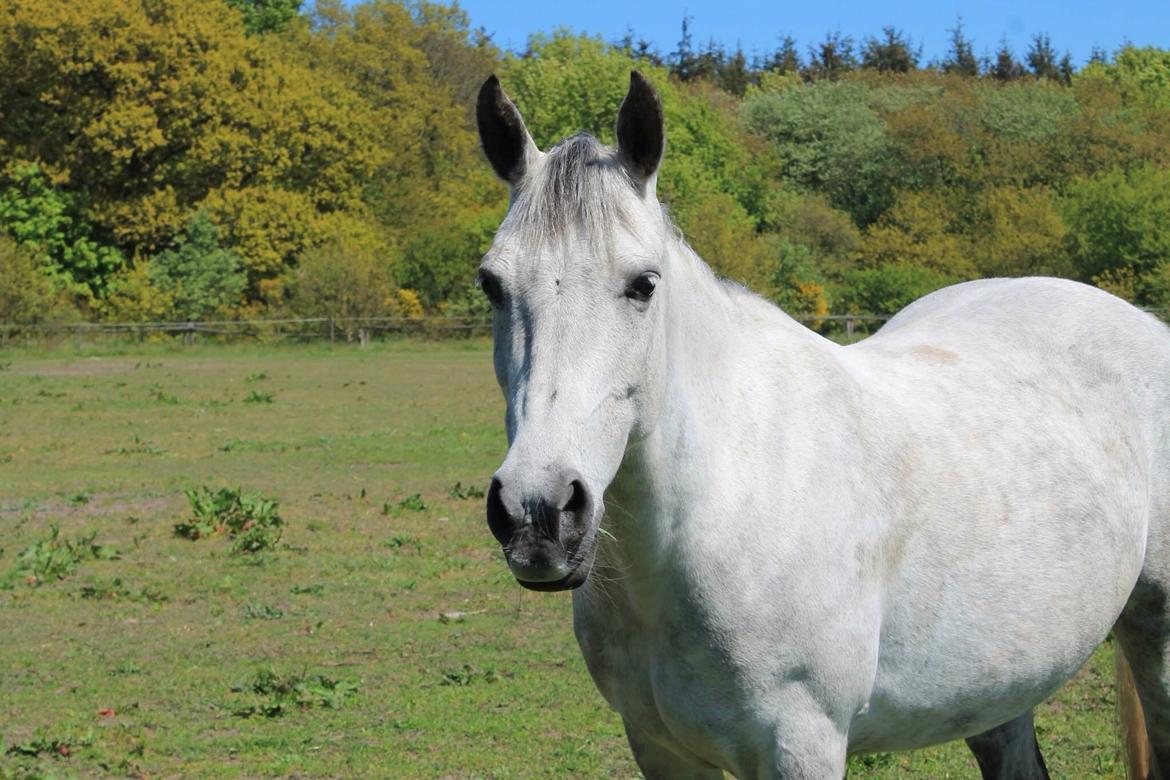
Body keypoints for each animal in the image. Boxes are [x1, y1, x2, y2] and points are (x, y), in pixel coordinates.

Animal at [472, 70, 1170, 776]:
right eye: (492, 285)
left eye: (643, 284)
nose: (538, 513)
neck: (721, 506)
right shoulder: (658, 746)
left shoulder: (801, 744)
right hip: (997, 683)